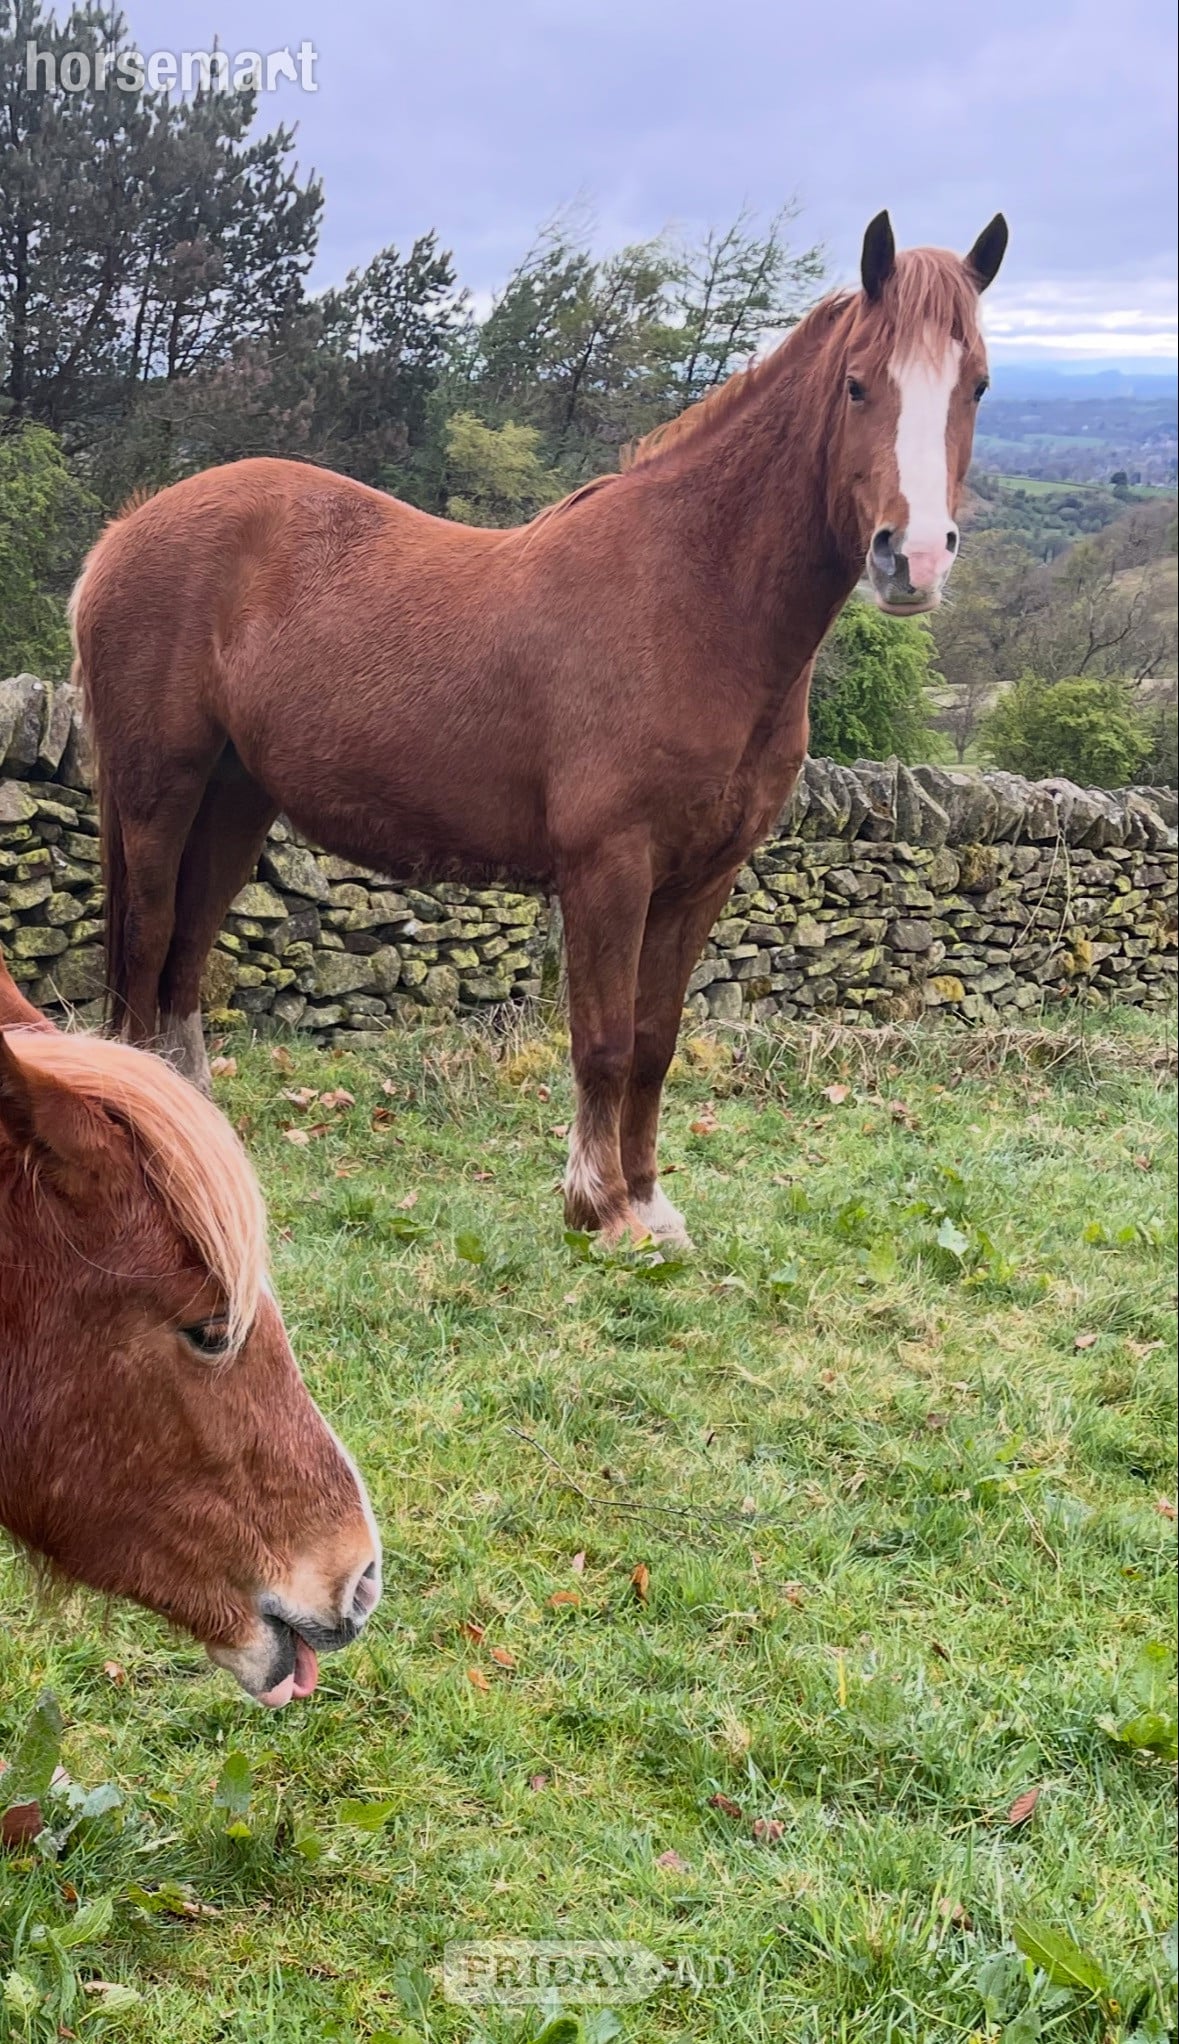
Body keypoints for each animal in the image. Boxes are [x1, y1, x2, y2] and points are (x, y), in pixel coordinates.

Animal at [73, 209, 1007, 1249]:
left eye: (975, 384)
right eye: (857, 383)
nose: (911, 557)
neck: (692, 601)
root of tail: (125, 533)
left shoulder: (702, 878)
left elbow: (655, 1041)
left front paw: (648, 1201)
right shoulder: (608, 867)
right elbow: (602, 1041)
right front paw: (599, 1208)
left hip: (236, 797)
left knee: (187, 952)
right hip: (159, 790)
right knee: (149, 938)